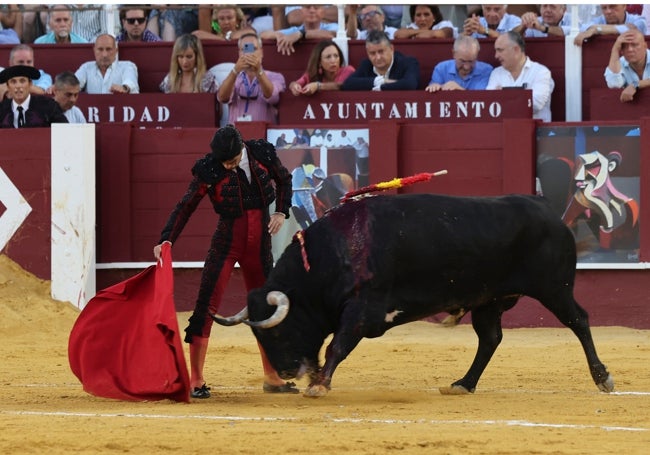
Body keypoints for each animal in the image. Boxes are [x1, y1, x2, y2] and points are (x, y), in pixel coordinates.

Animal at [213, 194, 612, 398]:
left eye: (279, 330)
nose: (286, 373)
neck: (333, 251)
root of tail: (552, 215)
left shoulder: (362, 307)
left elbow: (337, 345)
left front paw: (319, 385)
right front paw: (316, 381)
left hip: (554, 288)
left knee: (579, 320)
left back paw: (602, 377)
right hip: (488, 299)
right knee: (490, 338)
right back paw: (464, 384)